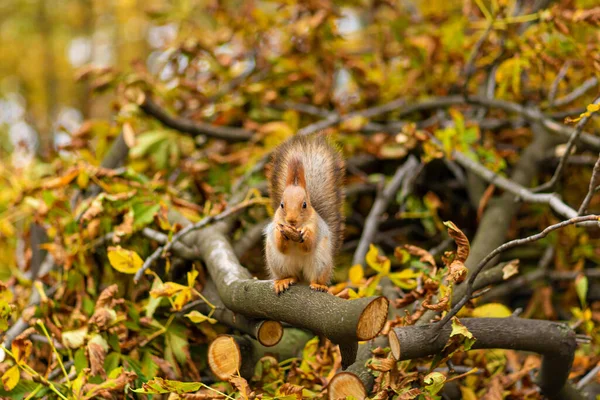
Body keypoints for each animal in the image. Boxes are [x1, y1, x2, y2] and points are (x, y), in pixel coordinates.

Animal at [264, 134, 344, 294]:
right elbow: (281, 246)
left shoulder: (316, 226)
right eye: (282, 205)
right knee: (290, 274)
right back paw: (284, 281)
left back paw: (319, 285)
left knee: (316, 277)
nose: (291, 220)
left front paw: (306, 233)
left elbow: (309, 245)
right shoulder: (277, 223)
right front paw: (280, 234)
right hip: (278, 262)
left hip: (320, 262)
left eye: (305, 204)